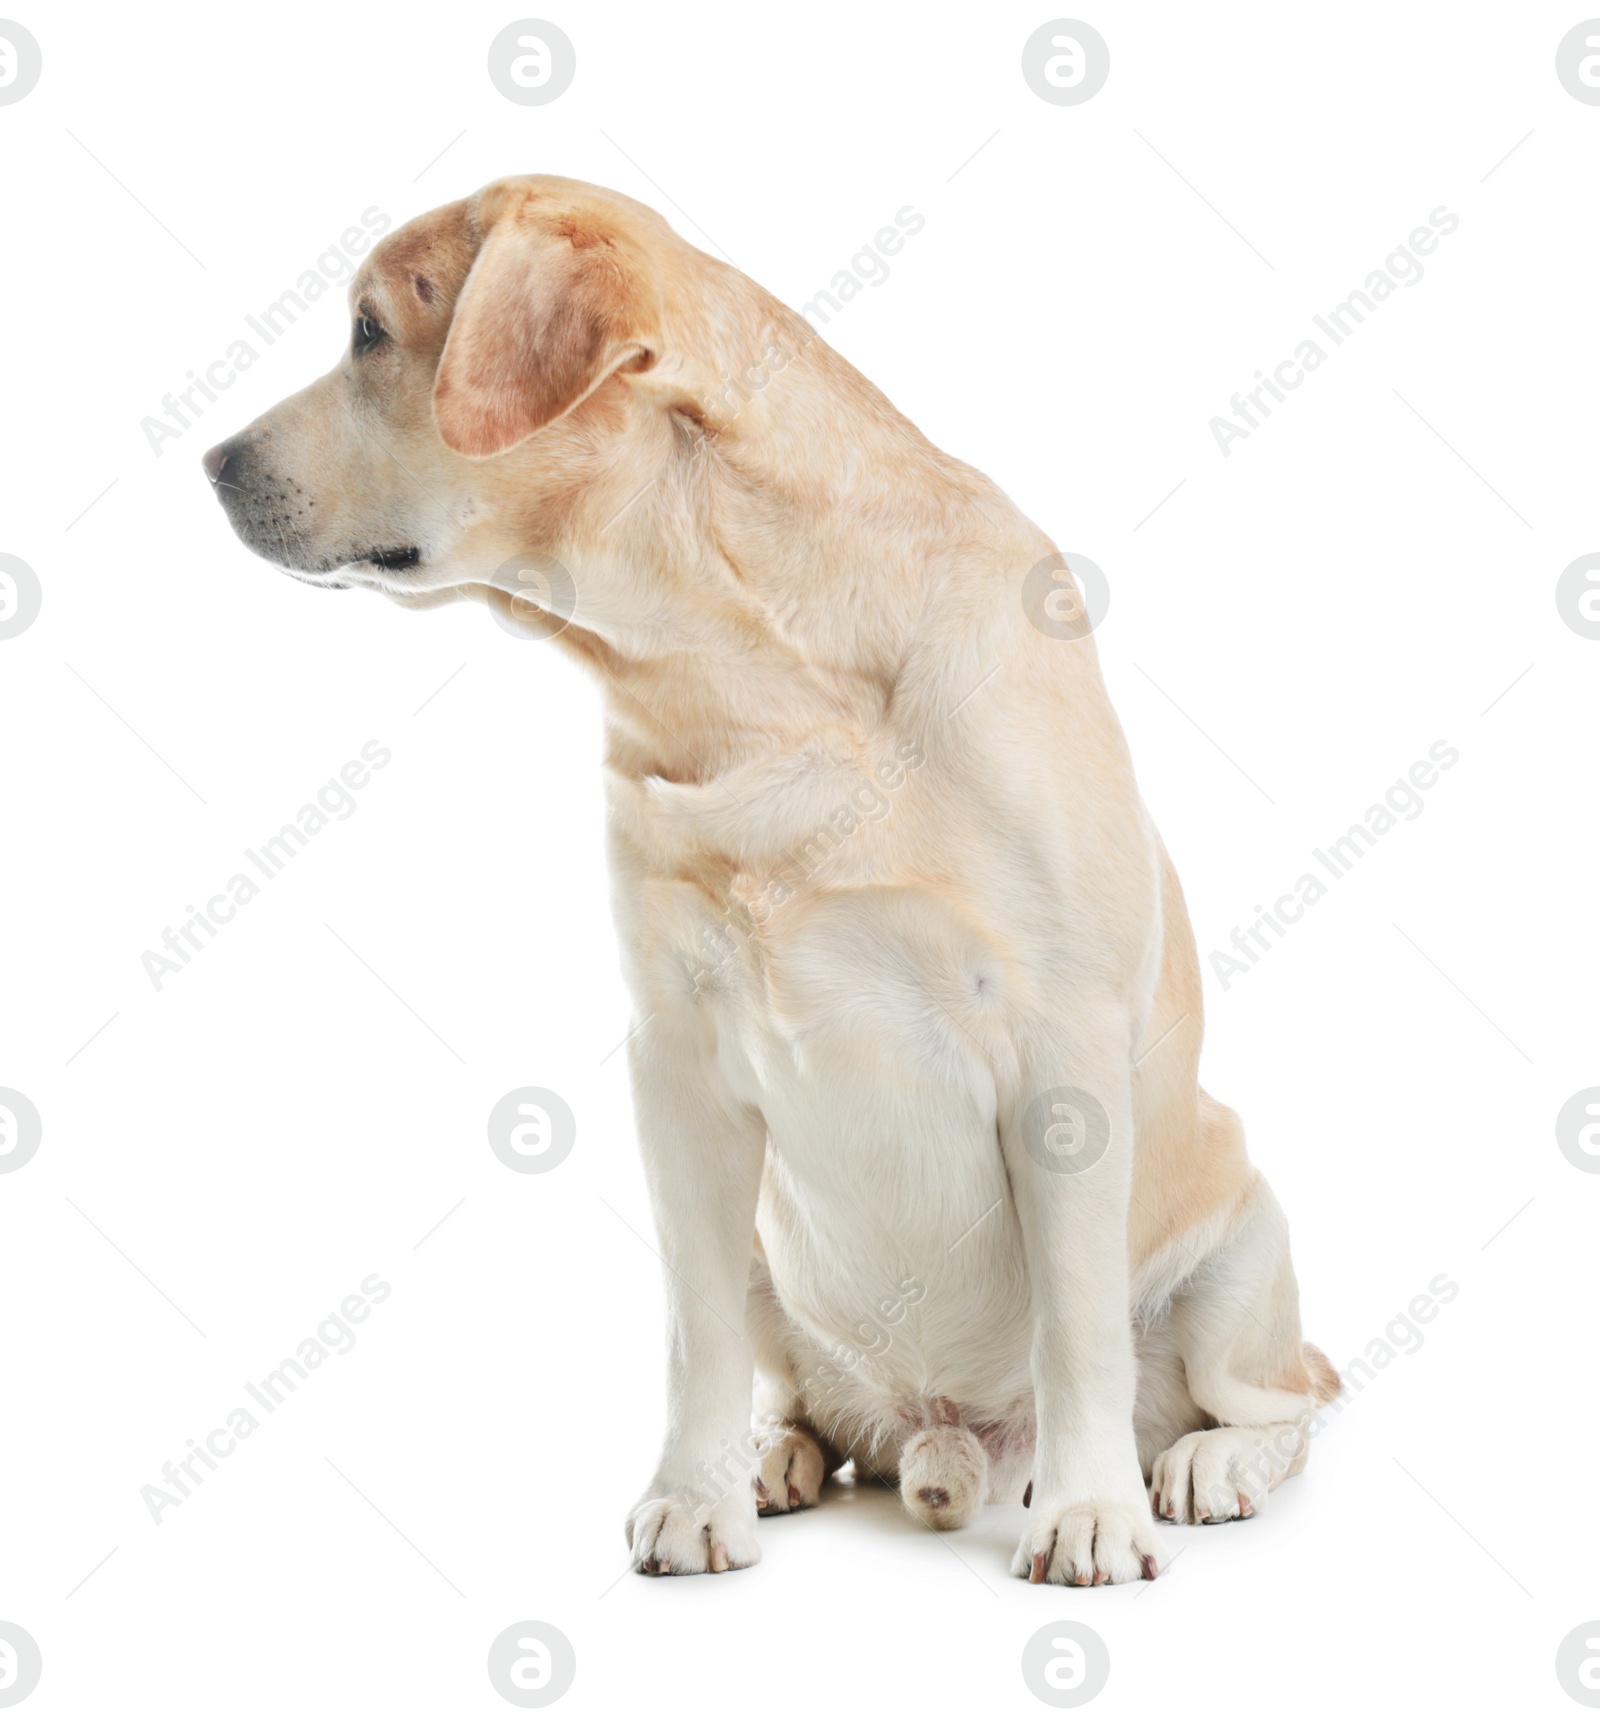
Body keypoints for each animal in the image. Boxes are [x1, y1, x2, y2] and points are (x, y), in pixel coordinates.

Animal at [206, 178, 1347, 1589]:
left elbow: (1077, 1332)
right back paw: (778, 1453)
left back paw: (1194, 1465)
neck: (750, 674)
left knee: (1277, 1399)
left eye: (368, 331)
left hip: (1245, 1233)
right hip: (774, 1254)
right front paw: (695, 1497)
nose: (211, 463)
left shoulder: (1063, 1055)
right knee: (814, 1401)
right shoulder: (678, 1069)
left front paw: (1092, 1512)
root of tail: (956, 1438)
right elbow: (689, 1334)